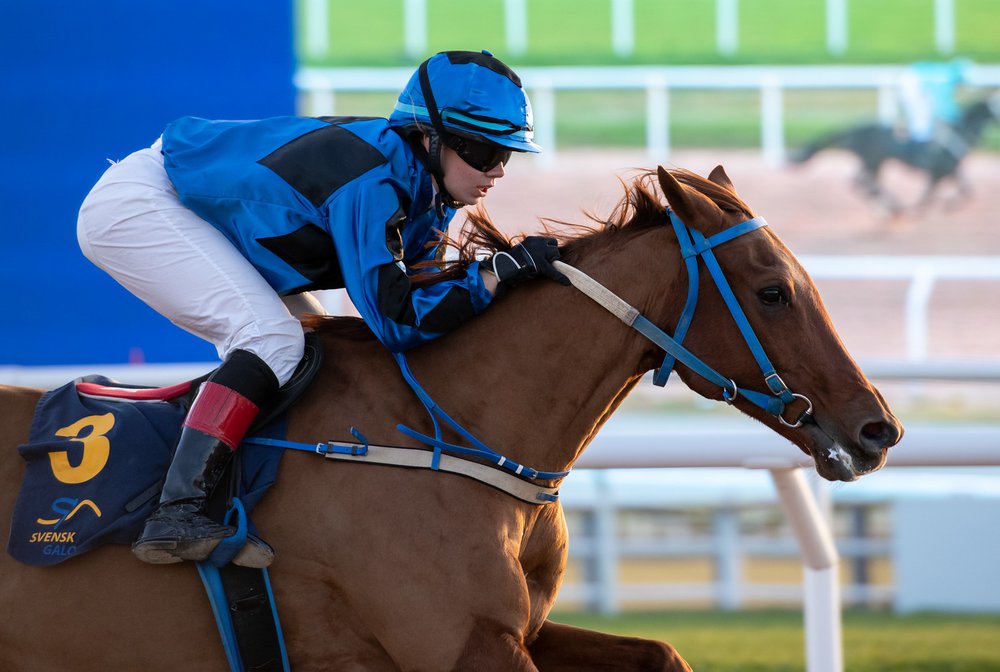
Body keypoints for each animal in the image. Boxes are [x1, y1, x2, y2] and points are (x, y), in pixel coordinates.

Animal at [0, 165, 904, 668]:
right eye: (773, 291)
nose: (878, 430)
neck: (454, 434)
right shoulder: (457, 645)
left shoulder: (518, 630)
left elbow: (663, 652)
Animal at [788, 93, 1000, 214]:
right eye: (996, 108)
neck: (958, 131)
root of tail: (855, 127)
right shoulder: (938, 171)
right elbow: (932, 195)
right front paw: (928, 207)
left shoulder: (949, 169)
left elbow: (965, 190)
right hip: (873, 160)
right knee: (863, 182)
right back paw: (890, 204)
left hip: (874, 162)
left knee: (860, 182)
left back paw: (885, 203)